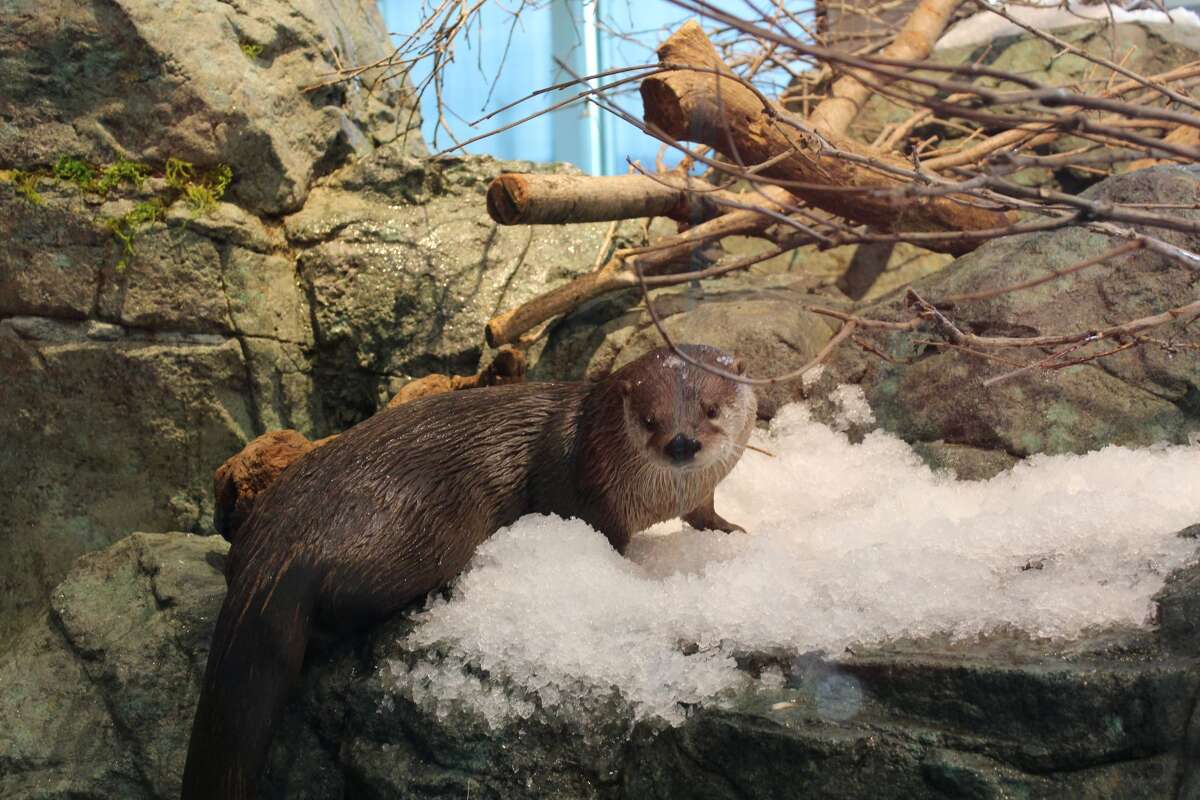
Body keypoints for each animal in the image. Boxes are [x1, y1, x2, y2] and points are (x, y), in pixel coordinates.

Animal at [182, 344, 756, 799]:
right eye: (651, 419)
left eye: (710, 408)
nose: (681, 442)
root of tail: (275, 545)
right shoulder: (586, 495)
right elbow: (601, 538)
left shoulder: (696, 493)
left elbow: (706, 512)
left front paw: (732, 531)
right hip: (423, 530)